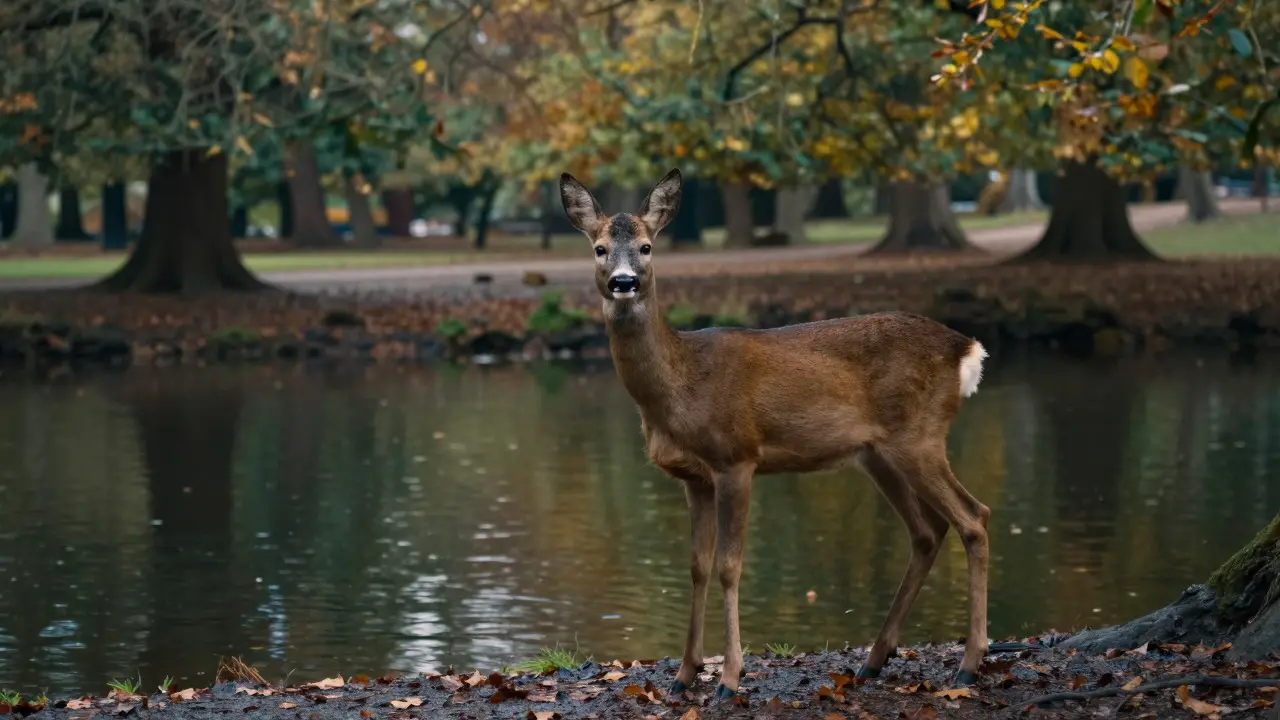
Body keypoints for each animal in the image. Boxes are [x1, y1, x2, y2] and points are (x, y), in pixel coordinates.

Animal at [559, 168, 992, 703]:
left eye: (646, 246)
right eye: (599, 248)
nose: (624, 281)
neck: (680, 388)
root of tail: (966, 349)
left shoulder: (737, 458)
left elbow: (730, 566)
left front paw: (729, 678)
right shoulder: (692, 477)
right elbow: (697, 566)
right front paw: (684, 674)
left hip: (920, 436)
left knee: (973, 517)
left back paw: (969, 665)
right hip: (878, 453)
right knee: (928, 531)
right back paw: (875, 659)